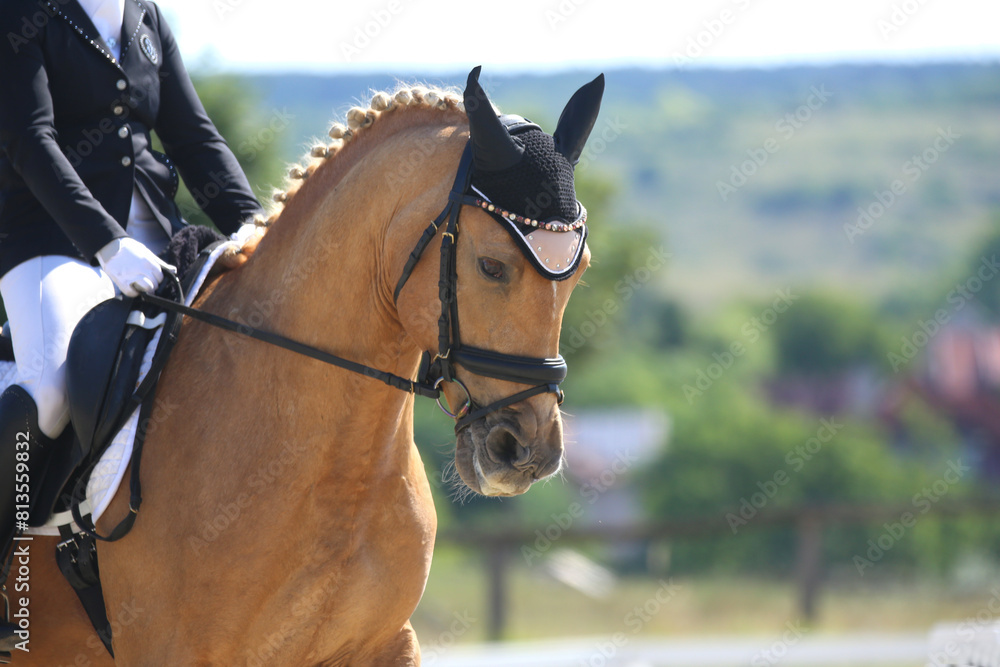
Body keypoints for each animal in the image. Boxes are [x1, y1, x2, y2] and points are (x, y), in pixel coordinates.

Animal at [12, 67, 603, 665]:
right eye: (490, 266)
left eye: (580, 272)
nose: (526, 453)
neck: (340, 475)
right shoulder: (171, 647)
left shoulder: (386, 641)